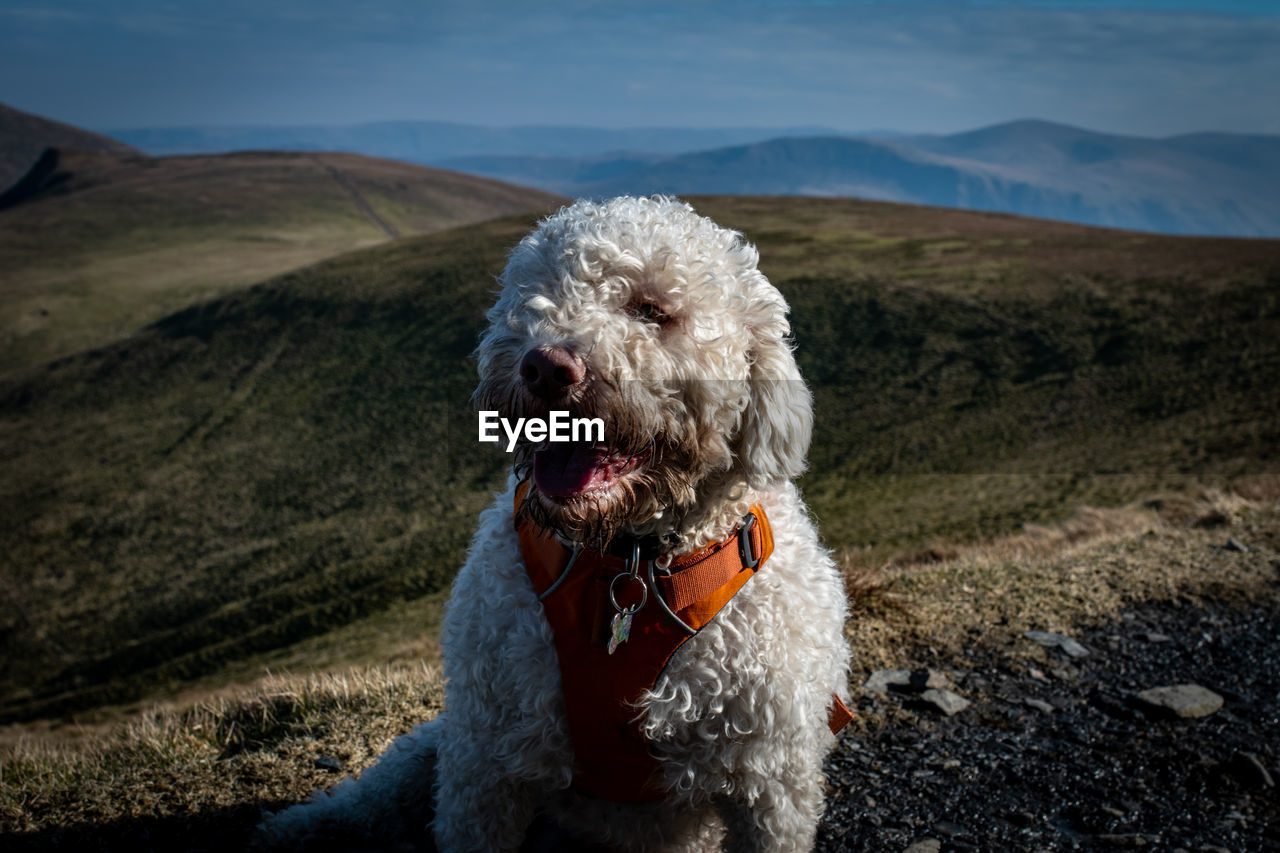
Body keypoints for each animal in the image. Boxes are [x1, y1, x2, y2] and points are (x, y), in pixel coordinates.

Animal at [256, 197, 855, 850]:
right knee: (370, 798)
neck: (628, 566)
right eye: (534, 297)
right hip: (432, 749)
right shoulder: (485, 758)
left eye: (652, 311)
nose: (544, 367)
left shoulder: (770, 779)